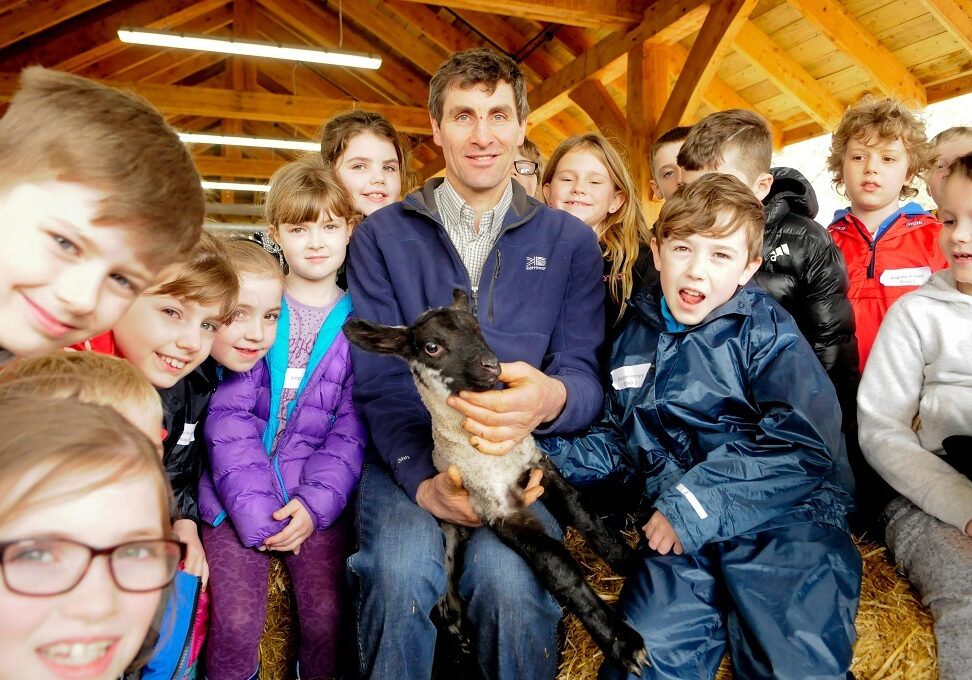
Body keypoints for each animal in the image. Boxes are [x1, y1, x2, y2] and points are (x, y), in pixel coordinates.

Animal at [346, 290, 648, 676]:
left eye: (477, 328)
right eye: (432, 347)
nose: (492, 366)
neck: (494, 459)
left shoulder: (537, 465)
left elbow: (586, 517)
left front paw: (630, 560)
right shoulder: (497, 507)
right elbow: (558, 566)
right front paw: (623, 642)